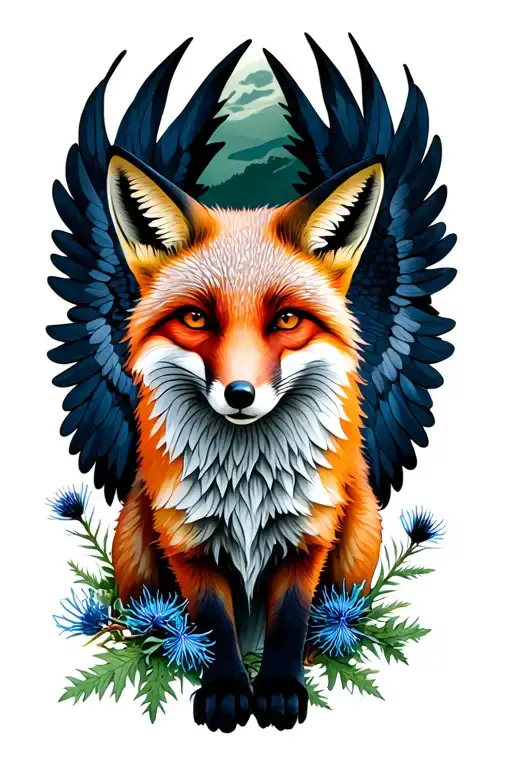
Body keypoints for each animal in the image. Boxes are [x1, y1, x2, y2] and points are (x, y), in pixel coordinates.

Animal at [106, 146, 385, 732]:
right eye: (195, 318)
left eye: (287, 319)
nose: (239, 394)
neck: (247, 483)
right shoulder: (186, 538)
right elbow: (212, 623)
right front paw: (228, 690)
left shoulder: (308, 535)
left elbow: (289, 619)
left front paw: (279, 689)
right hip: (136, 543)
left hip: (360, 532)